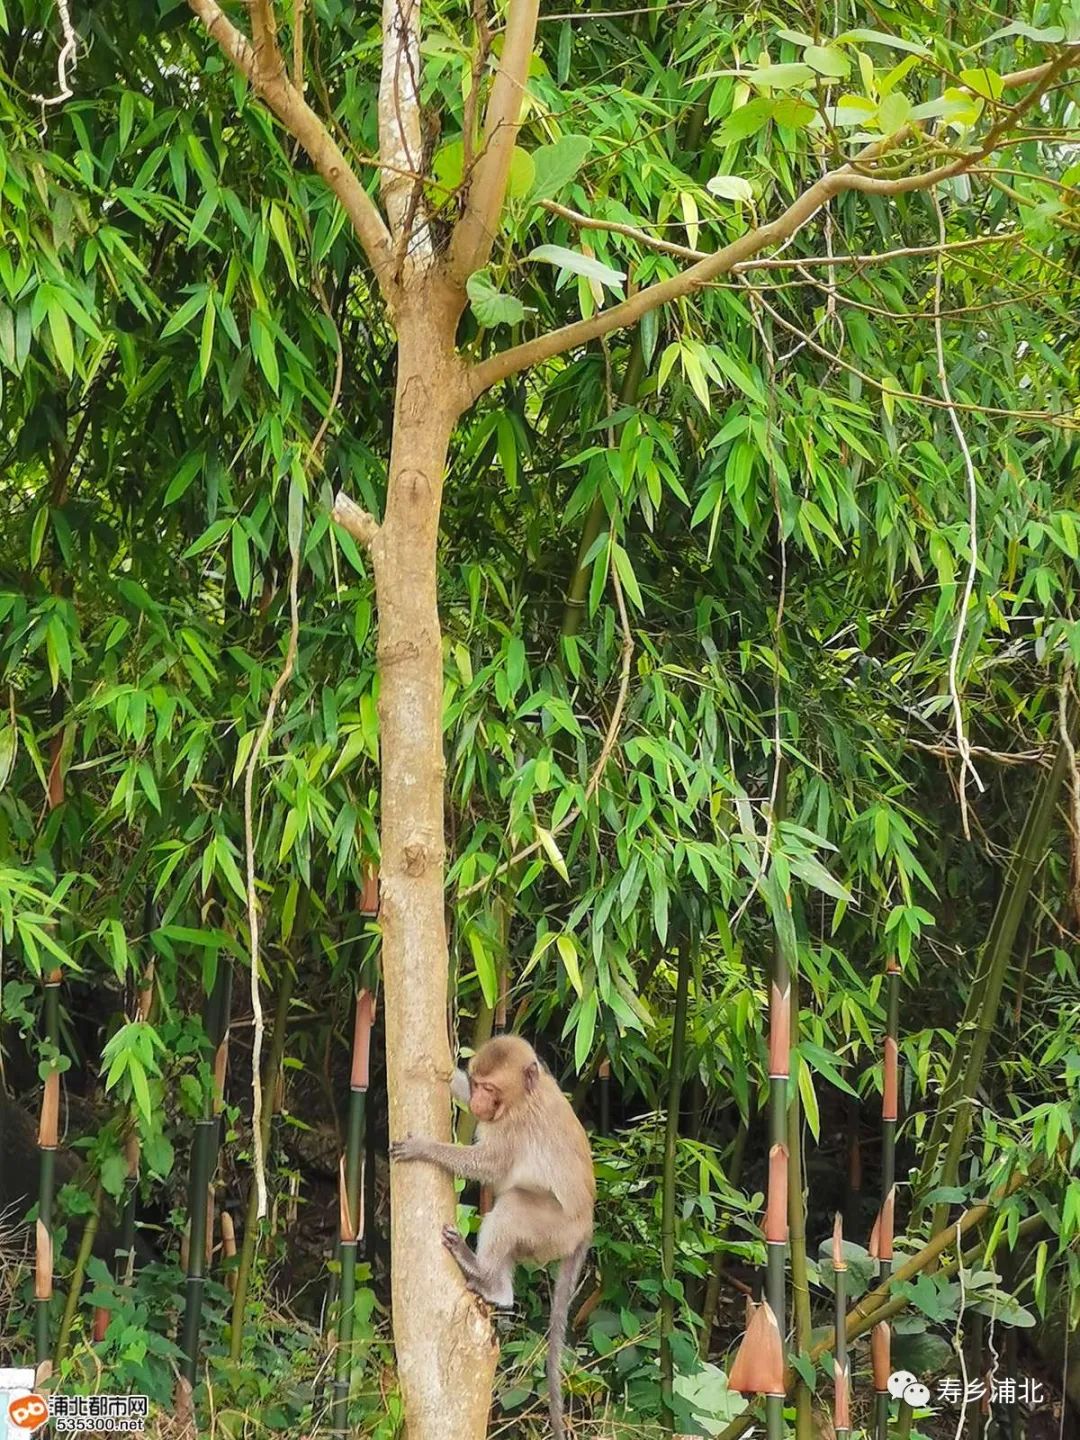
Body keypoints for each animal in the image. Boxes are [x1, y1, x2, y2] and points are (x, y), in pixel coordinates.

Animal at [391, 1042, 596, 1434]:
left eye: (491, 1088)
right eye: (477, 1083)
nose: (479, 1102)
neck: (523, 1098)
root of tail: (586, 1229)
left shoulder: (515, 1127)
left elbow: (489, 1164)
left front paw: (425, 1148)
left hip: (556, 1230)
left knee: (513, 1206)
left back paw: (481, 1271)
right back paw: (499, 1288)